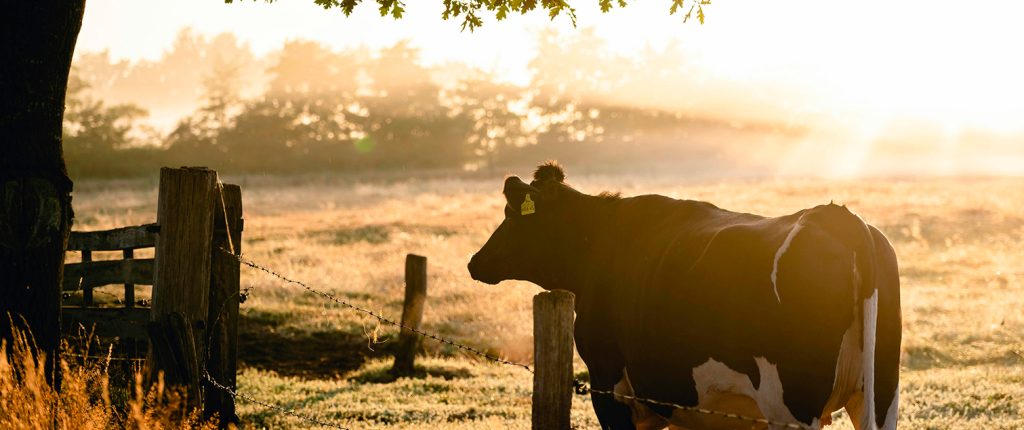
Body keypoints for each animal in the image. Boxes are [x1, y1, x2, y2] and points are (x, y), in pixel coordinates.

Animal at [467, 162, 901, 430]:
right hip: (880, 396)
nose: (475, 262)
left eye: (510, 215)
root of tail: (838, 217)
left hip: (792, 407)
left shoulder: (611, 388)